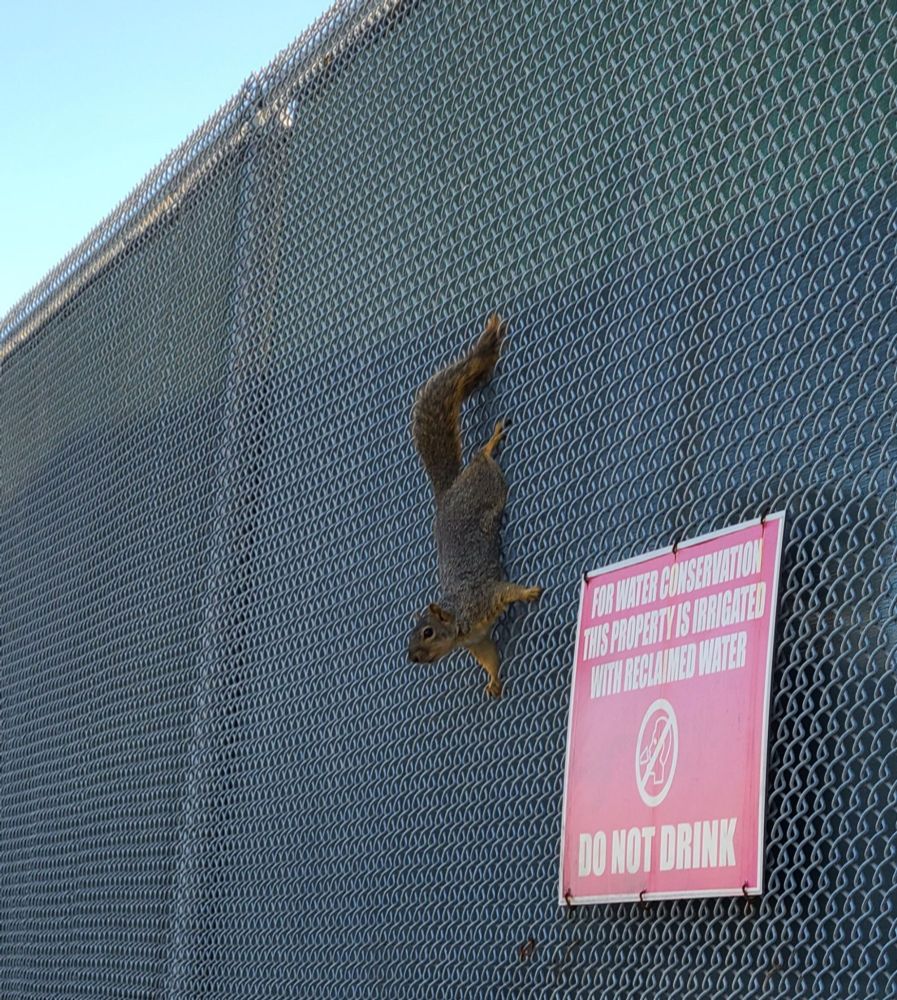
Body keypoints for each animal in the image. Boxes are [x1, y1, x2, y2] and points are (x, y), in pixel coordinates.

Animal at [407, 313, 543, 697]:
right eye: (412, 635)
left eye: (428, 632)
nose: (413, 657)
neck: (461, 622)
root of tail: (447, 494)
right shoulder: (477, 640)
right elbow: (489, 656)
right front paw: (494, 682)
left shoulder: (484, 596)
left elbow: (507, 590)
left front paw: (529, 591)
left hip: (484, 484)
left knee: (481, 459)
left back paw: (490, 443)